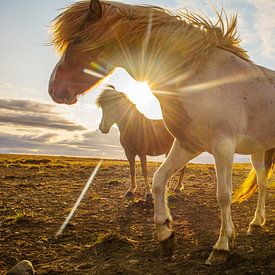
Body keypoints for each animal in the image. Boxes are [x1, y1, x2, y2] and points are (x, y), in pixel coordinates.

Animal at [48, 1, 274, 266]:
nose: (53, 89)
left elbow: (223, 195)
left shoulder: (223, 147)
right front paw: (166, 234)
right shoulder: (187, 144)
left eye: (78, 39)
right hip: (258, 151)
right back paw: (256, 223)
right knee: (262, 183)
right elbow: (158, 180)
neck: (199, 75)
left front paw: (221, 246)